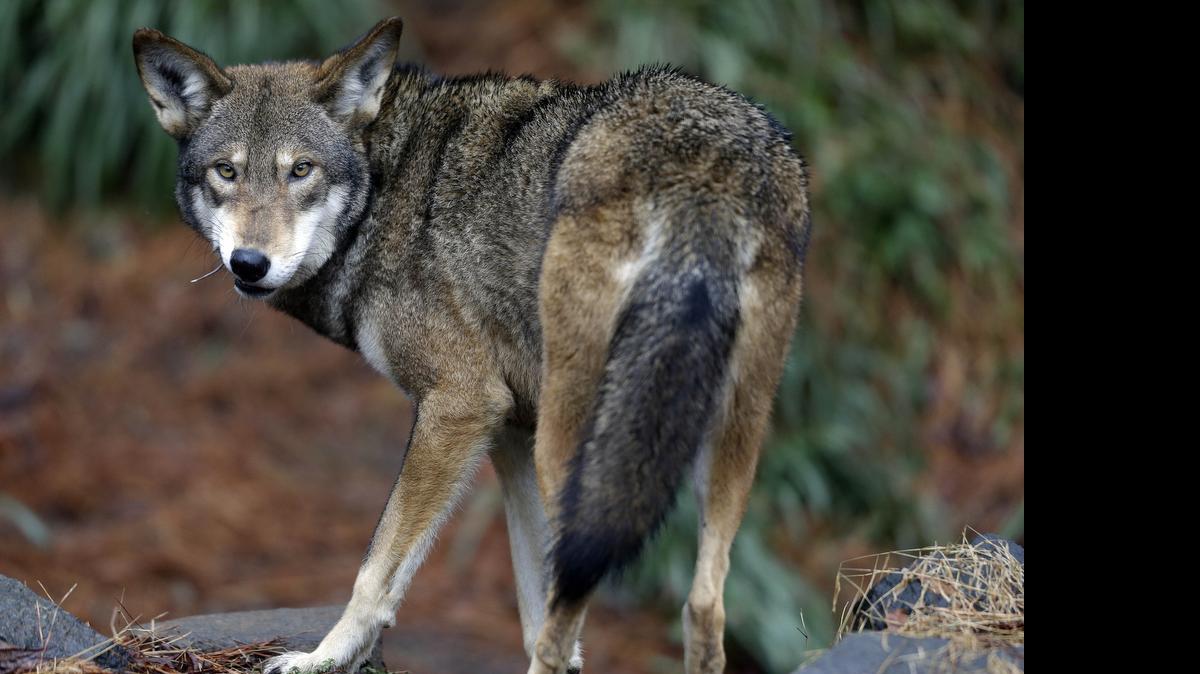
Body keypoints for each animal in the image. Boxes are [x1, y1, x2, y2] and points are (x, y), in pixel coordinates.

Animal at [133, 16, 810, 674]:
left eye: (301, 170)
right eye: (227, 171)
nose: (250, 263)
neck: (385, 189)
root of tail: (705, 165)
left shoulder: (460, 406)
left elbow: (377, 571)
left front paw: (323, 658)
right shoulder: (509, 434)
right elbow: (534, 608)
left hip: (576, 446)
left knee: (580, 616)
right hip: (719, 444)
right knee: (702, 609)